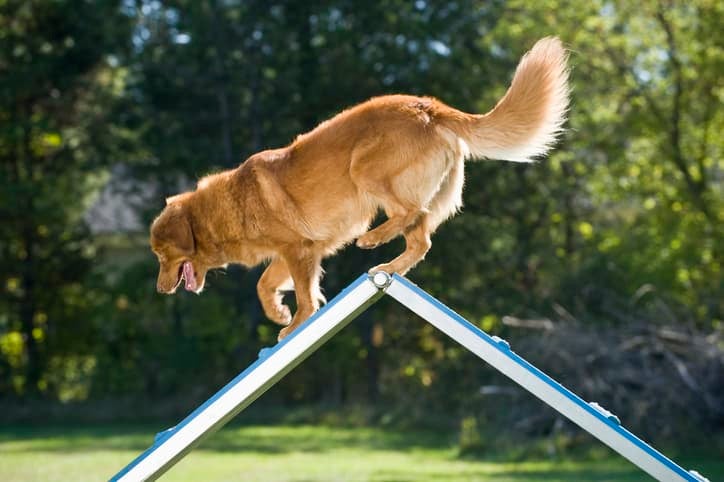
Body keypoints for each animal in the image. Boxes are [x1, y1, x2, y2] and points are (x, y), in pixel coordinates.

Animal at [150, 36, 572, 338]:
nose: (160, 291)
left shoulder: (298, 251)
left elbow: (302, 295)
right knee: (420, 239)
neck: (223, 209)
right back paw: (388, 266)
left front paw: (295, 322)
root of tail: (429, 107)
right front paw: (279, 313)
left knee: (410, 213)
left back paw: (373, 239)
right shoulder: (298, 251)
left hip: (364, 170)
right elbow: (264, 285)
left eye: (161, 255)